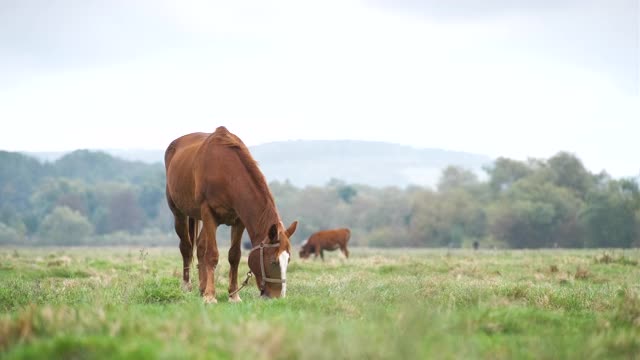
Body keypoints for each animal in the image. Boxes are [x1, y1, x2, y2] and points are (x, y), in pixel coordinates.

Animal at [164, 127, 296, 304]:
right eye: (273, 261)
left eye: (288, 260)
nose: (278, 297)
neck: (227, 172)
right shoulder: (208, 213)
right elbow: (212, 255)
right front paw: (210, 296)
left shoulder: (239, 221)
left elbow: (234, 256)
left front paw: (233, 295)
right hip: (179, 213)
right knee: (186, 247)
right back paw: (187, 286)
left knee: (200, 247)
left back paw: (202, 287)